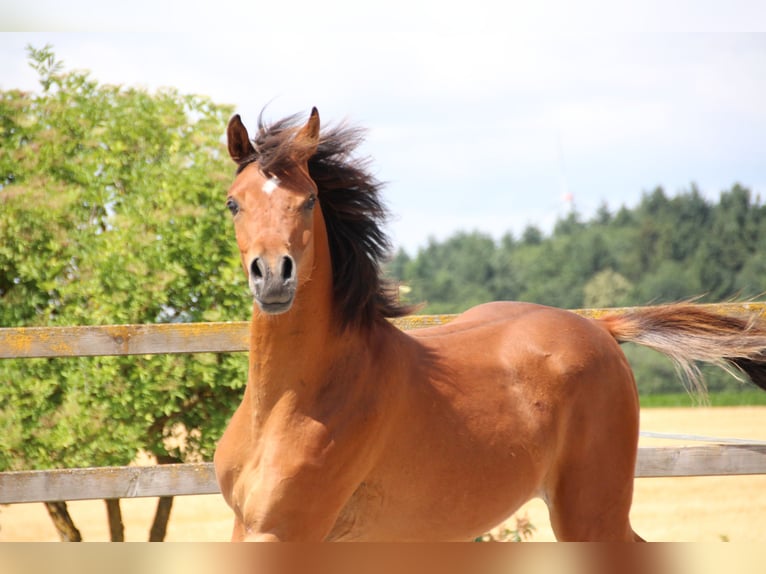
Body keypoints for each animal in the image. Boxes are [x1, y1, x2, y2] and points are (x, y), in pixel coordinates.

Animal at [213, 108, 766, 541]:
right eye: (234, 202)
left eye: (308, 200)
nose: (274, 276)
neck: (295, 400)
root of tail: (601, 329)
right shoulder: (254, 528)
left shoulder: (286, 532)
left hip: (591, 511)